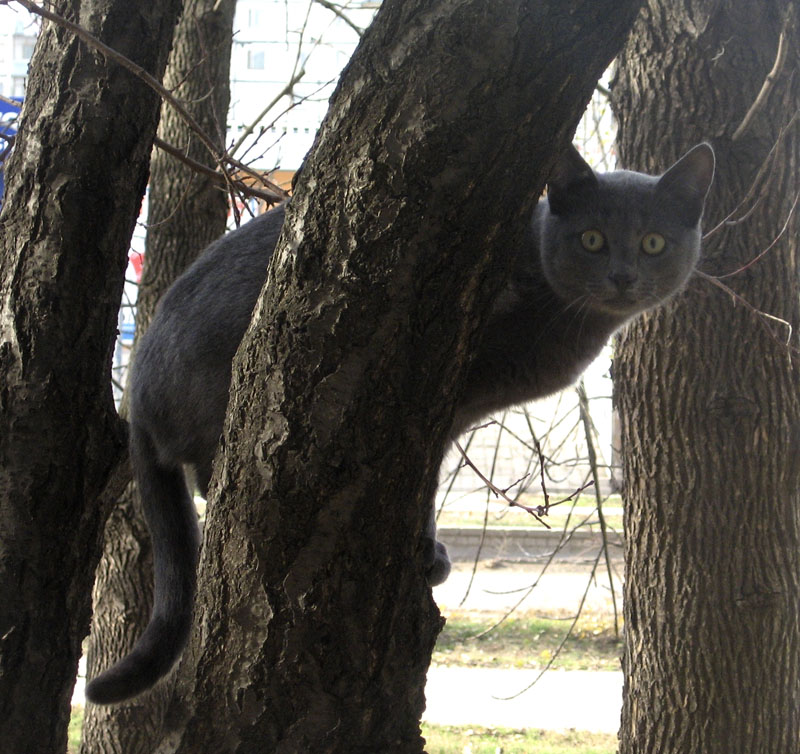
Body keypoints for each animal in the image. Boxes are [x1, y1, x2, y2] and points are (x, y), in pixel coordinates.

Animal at [86, 142, 714, 704]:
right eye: (592, 239)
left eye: (653, 243)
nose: (623, 276)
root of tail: (135, 388)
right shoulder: (439, 395)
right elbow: (427, 480)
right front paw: (428, 549)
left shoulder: (452, 412)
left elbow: (429, 478)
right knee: (213, 472)